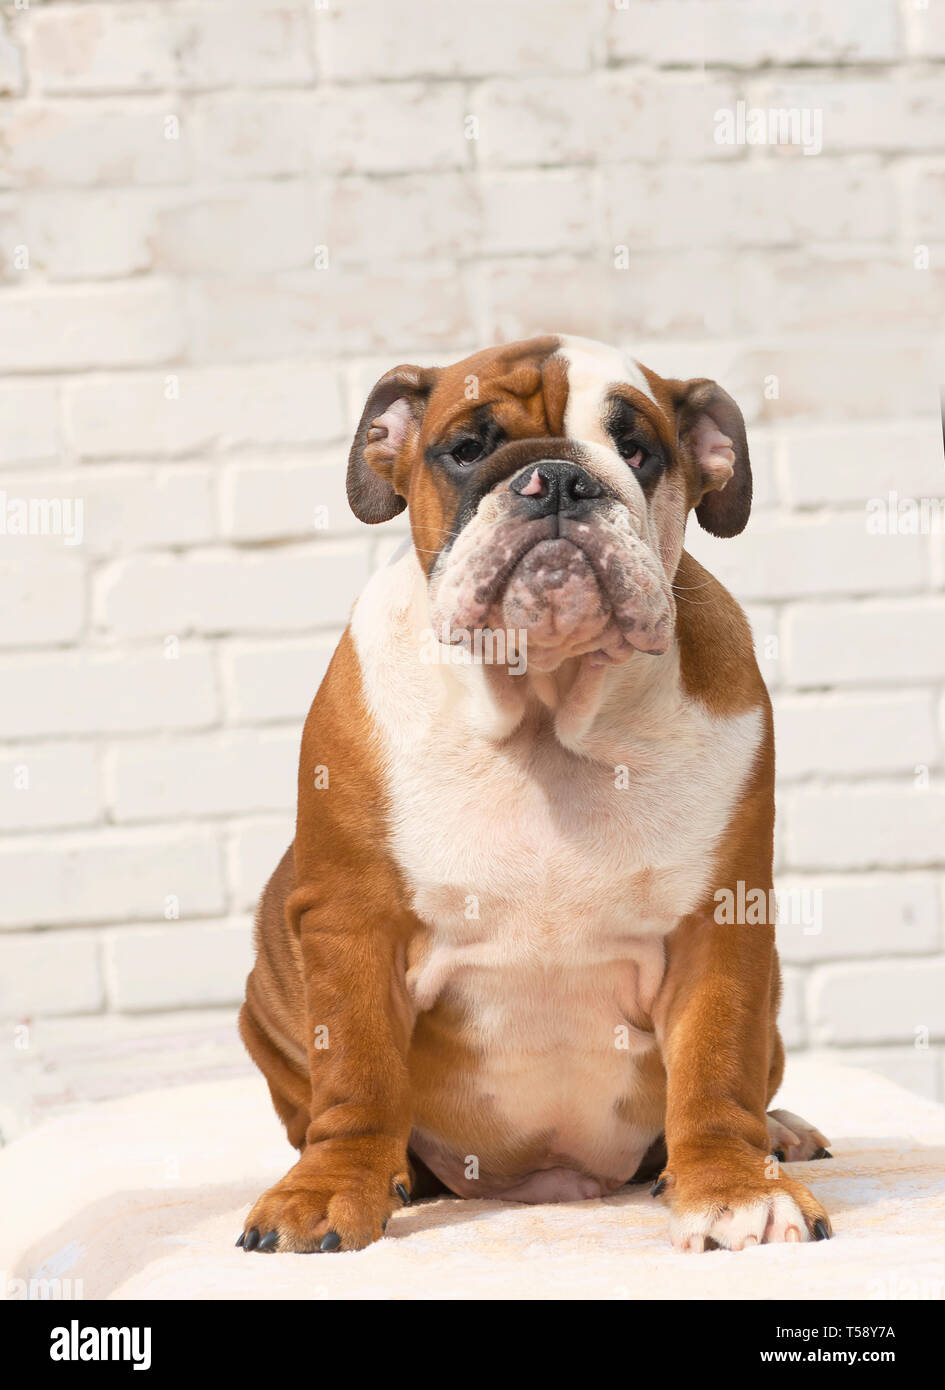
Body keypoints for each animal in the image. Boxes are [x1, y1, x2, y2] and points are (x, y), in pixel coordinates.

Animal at [237, 330, 833, 1256]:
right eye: (465, 448)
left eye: (638, 449)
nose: (556, 477)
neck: (546, 714)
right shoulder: (350, 920)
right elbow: (359, 1073)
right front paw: (330, 1188)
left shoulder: (720, 924)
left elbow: (713, 1067)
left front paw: (733, 1188)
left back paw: (775, 1131)